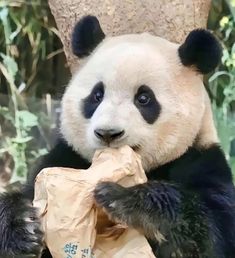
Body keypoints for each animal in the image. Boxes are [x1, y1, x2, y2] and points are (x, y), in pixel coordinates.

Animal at [0, 15, 235, 258]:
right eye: (97, 95)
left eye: (144, 98)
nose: (108, 133)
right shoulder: (65, 156)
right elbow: (30, 195)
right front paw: (23, 228)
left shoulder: (201, 159)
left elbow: (210, 230)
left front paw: (121, 198)